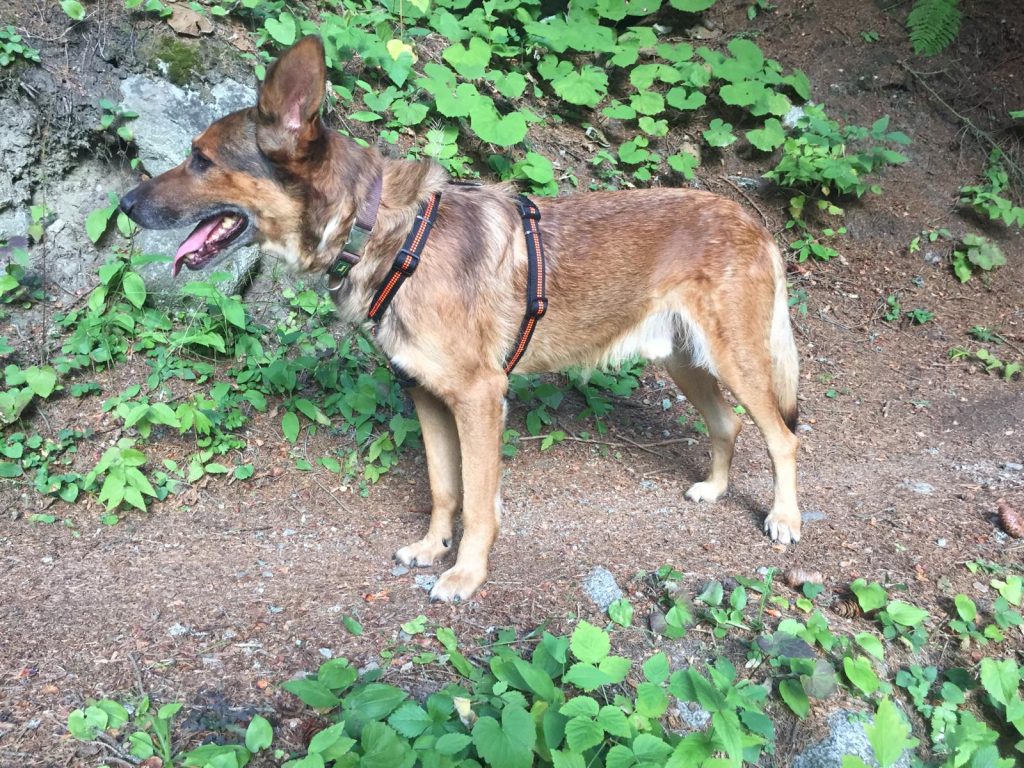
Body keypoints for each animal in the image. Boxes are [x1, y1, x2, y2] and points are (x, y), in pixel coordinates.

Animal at [119, 36, 802, 606]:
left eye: (200, 160)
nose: (123, 204)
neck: (381, 232)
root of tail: (751, 221)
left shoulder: (479, 398)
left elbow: (478, 502)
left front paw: (467, 575)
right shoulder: (428, 396)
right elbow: (445, 488)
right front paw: (432, 548)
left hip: (735, 361)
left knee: (782, 436)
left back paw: (786, 519)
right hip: (687, 360)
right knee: (728, 424)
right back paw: (714, 488)